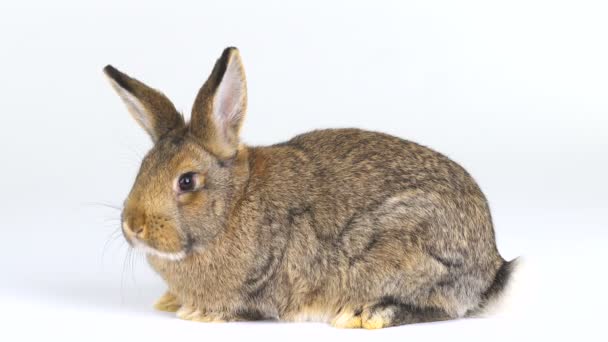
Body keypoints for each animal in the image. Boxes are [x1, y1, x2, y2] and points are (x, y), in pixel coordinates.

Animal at [102, 46, 516, 328]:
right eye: (142, 168)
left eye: (187, 181)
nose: (133, 225)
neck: (234, 202)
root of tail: (492, 266)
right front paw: (171, 302)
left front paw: (198, 312)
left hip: (407, 247)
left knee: (439, 305)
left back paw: (366, 313)